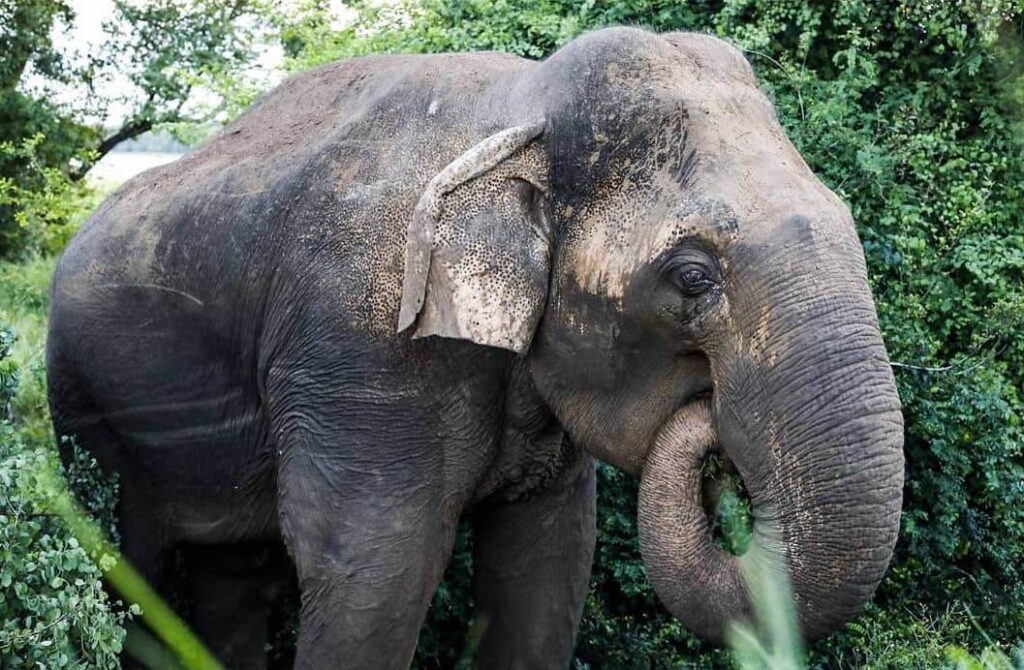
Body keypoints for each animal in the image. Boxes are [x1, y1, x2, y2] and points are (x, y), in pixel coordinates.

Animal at [48, 26, 905, 670]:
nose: (707, 422)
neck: (521, 106)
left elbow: (546, 567)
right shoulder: (360, 347)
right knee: (130, 563)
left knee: (235, 575)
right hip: (80, 401)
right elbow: (373, 572)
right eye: (692, 276)